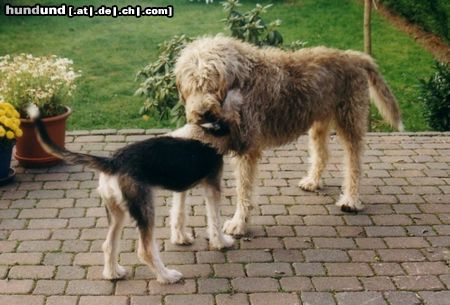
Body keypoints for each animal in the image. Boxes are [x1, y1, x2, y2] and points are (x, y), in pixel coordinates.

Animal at [26, 104, 234, 282]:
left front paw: (181, 238)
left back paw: (112, 273)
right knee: (146, 250)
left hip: (117, 213)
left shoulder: (182, 188)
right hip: (145, 211)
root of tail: (113, 162)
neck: (207, 130)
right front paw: (222, 242)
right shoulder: (213, 187)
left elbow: (179, 213)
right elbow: (215, 221)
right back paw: (166, 276)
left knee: (109, 245)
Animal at [174, 35, 402, 235]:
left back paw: (351, 200)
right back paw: (313, 181)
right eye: (191, 84)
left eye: (212, 84)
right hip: (319, 122)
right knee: (322, 154)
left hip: (350, 120)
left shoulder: (246, 145)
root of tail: (355, 56)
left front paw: (239, 223)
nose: (203, 113)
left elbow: (244, 189)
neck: (244, 80)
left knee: (353, 163)